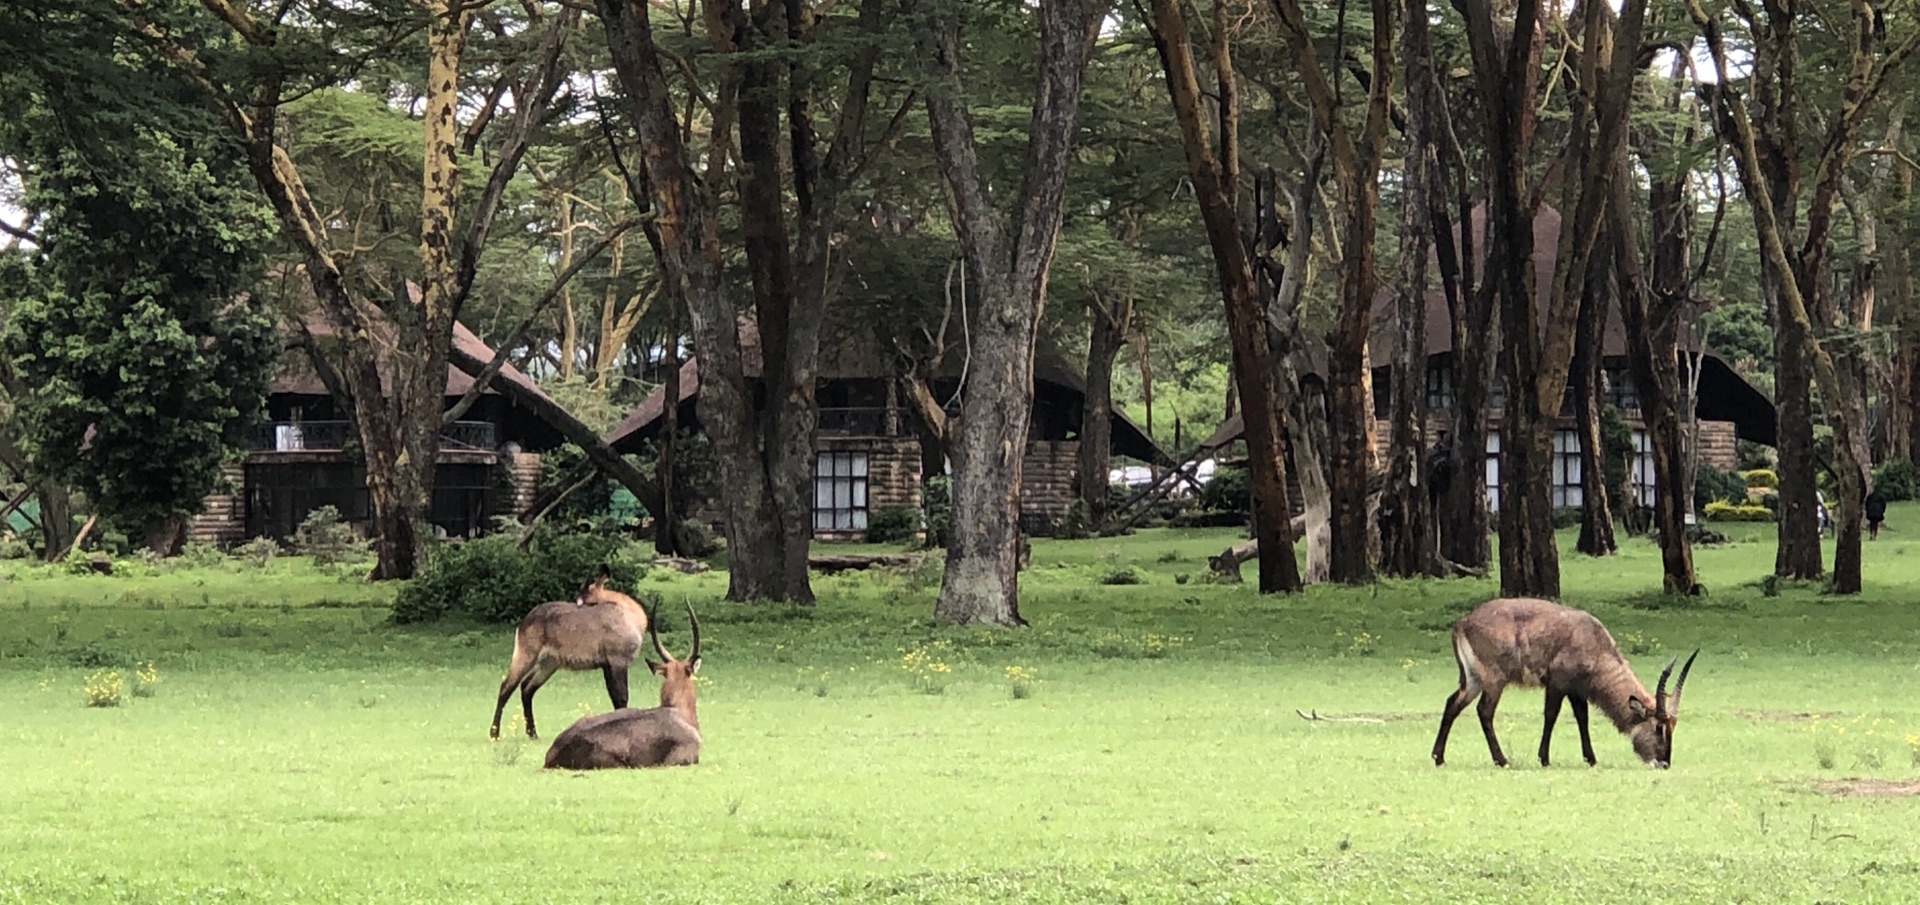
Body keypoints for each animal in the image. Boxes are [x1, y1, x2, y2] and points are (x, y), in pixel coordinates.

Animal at [487, 568, 652, 741]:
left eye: (581, 599)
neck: (628, 614)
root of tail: (525, 620)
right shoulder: (617, 661)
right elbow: (622, 696)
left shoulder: (607, 665)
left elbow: (614, 696)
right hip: (526, 655)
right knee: (506, 687)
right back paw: (494, 734)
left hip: (549, 664)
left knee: (526, 687)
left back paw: (532, 733)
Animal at [1436, 599, 1704, 768]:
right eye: (1658, 727)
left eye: (1672, 728)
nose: (1664, 763)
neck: (1592, 639)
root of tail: (1463, 622)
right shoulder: (1557, 684)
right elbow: (1551, 716)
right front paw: (1544, 759)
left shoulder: (1577, 691)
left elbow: (1582, 718)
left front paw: (1591, 759)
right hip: (1494, 681)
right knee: (1484, 711)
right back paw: (1501, 760)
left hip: (1473, 680)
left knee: (1452, 704)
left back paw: (1438, 757)